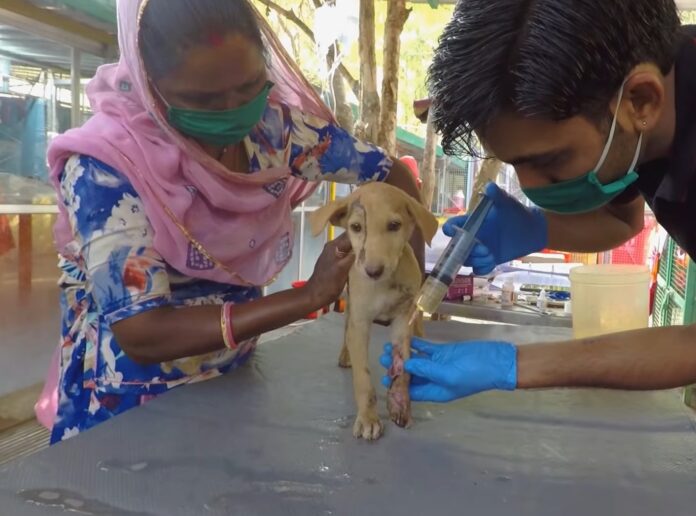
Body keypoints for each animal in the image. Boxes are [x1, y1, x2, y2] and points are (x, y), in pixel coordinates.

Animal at [310, 181, 436, 440]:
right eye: (356, 227)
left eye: (394, 226)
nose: (373, 271)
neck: (384, 284)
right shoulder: (360, 322)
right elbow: (363, 379)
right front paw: (368, 419)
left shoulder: (403, 321)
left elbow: (403, 368)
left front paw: (400, 403)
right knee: (346, 331)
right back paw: (345, 355)